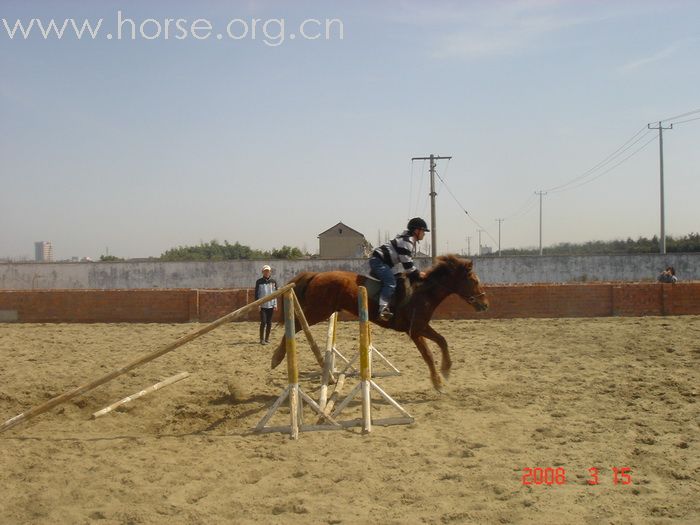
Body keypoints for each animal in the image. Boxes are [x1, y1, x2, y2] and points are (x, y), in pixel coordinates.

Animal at [270, 252, 490, 390]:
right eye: (474, 281)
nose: (485, 304)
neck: (424, 292)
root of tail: (316, 274)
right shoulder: (415, 330)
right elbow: (428, 355)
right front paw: (437, 383)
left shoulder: (422, 327)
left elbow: (442, 341)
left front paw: (446, 370)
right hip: (319, 311)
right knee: (295, 325)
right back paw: (276, 358)